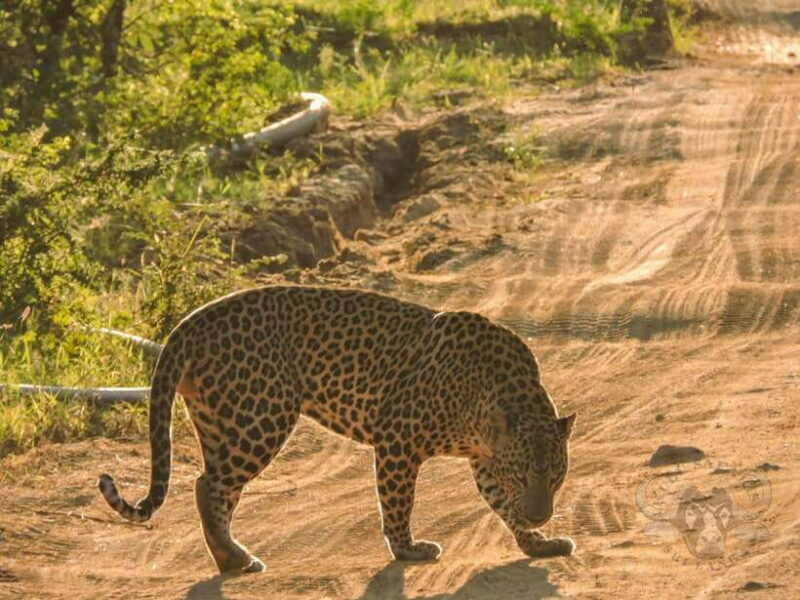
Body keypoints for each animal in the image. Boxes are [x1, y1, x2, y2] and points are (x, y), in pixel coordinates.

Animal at [98, 285, 577, 574]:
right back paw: (236, 560)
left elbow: (502, 505)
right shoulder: (397, 439)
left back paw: (232, 557)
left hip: (223, 423)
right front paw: (408, 550)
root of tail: (189, 322)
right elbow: (398, 503)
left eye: (555, 477)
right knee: (209, 486)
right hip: (261, 418)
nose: (541, 513)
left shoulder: (482, 459)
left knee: (212, 487)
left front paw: (537, 542)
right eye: (522, 475)